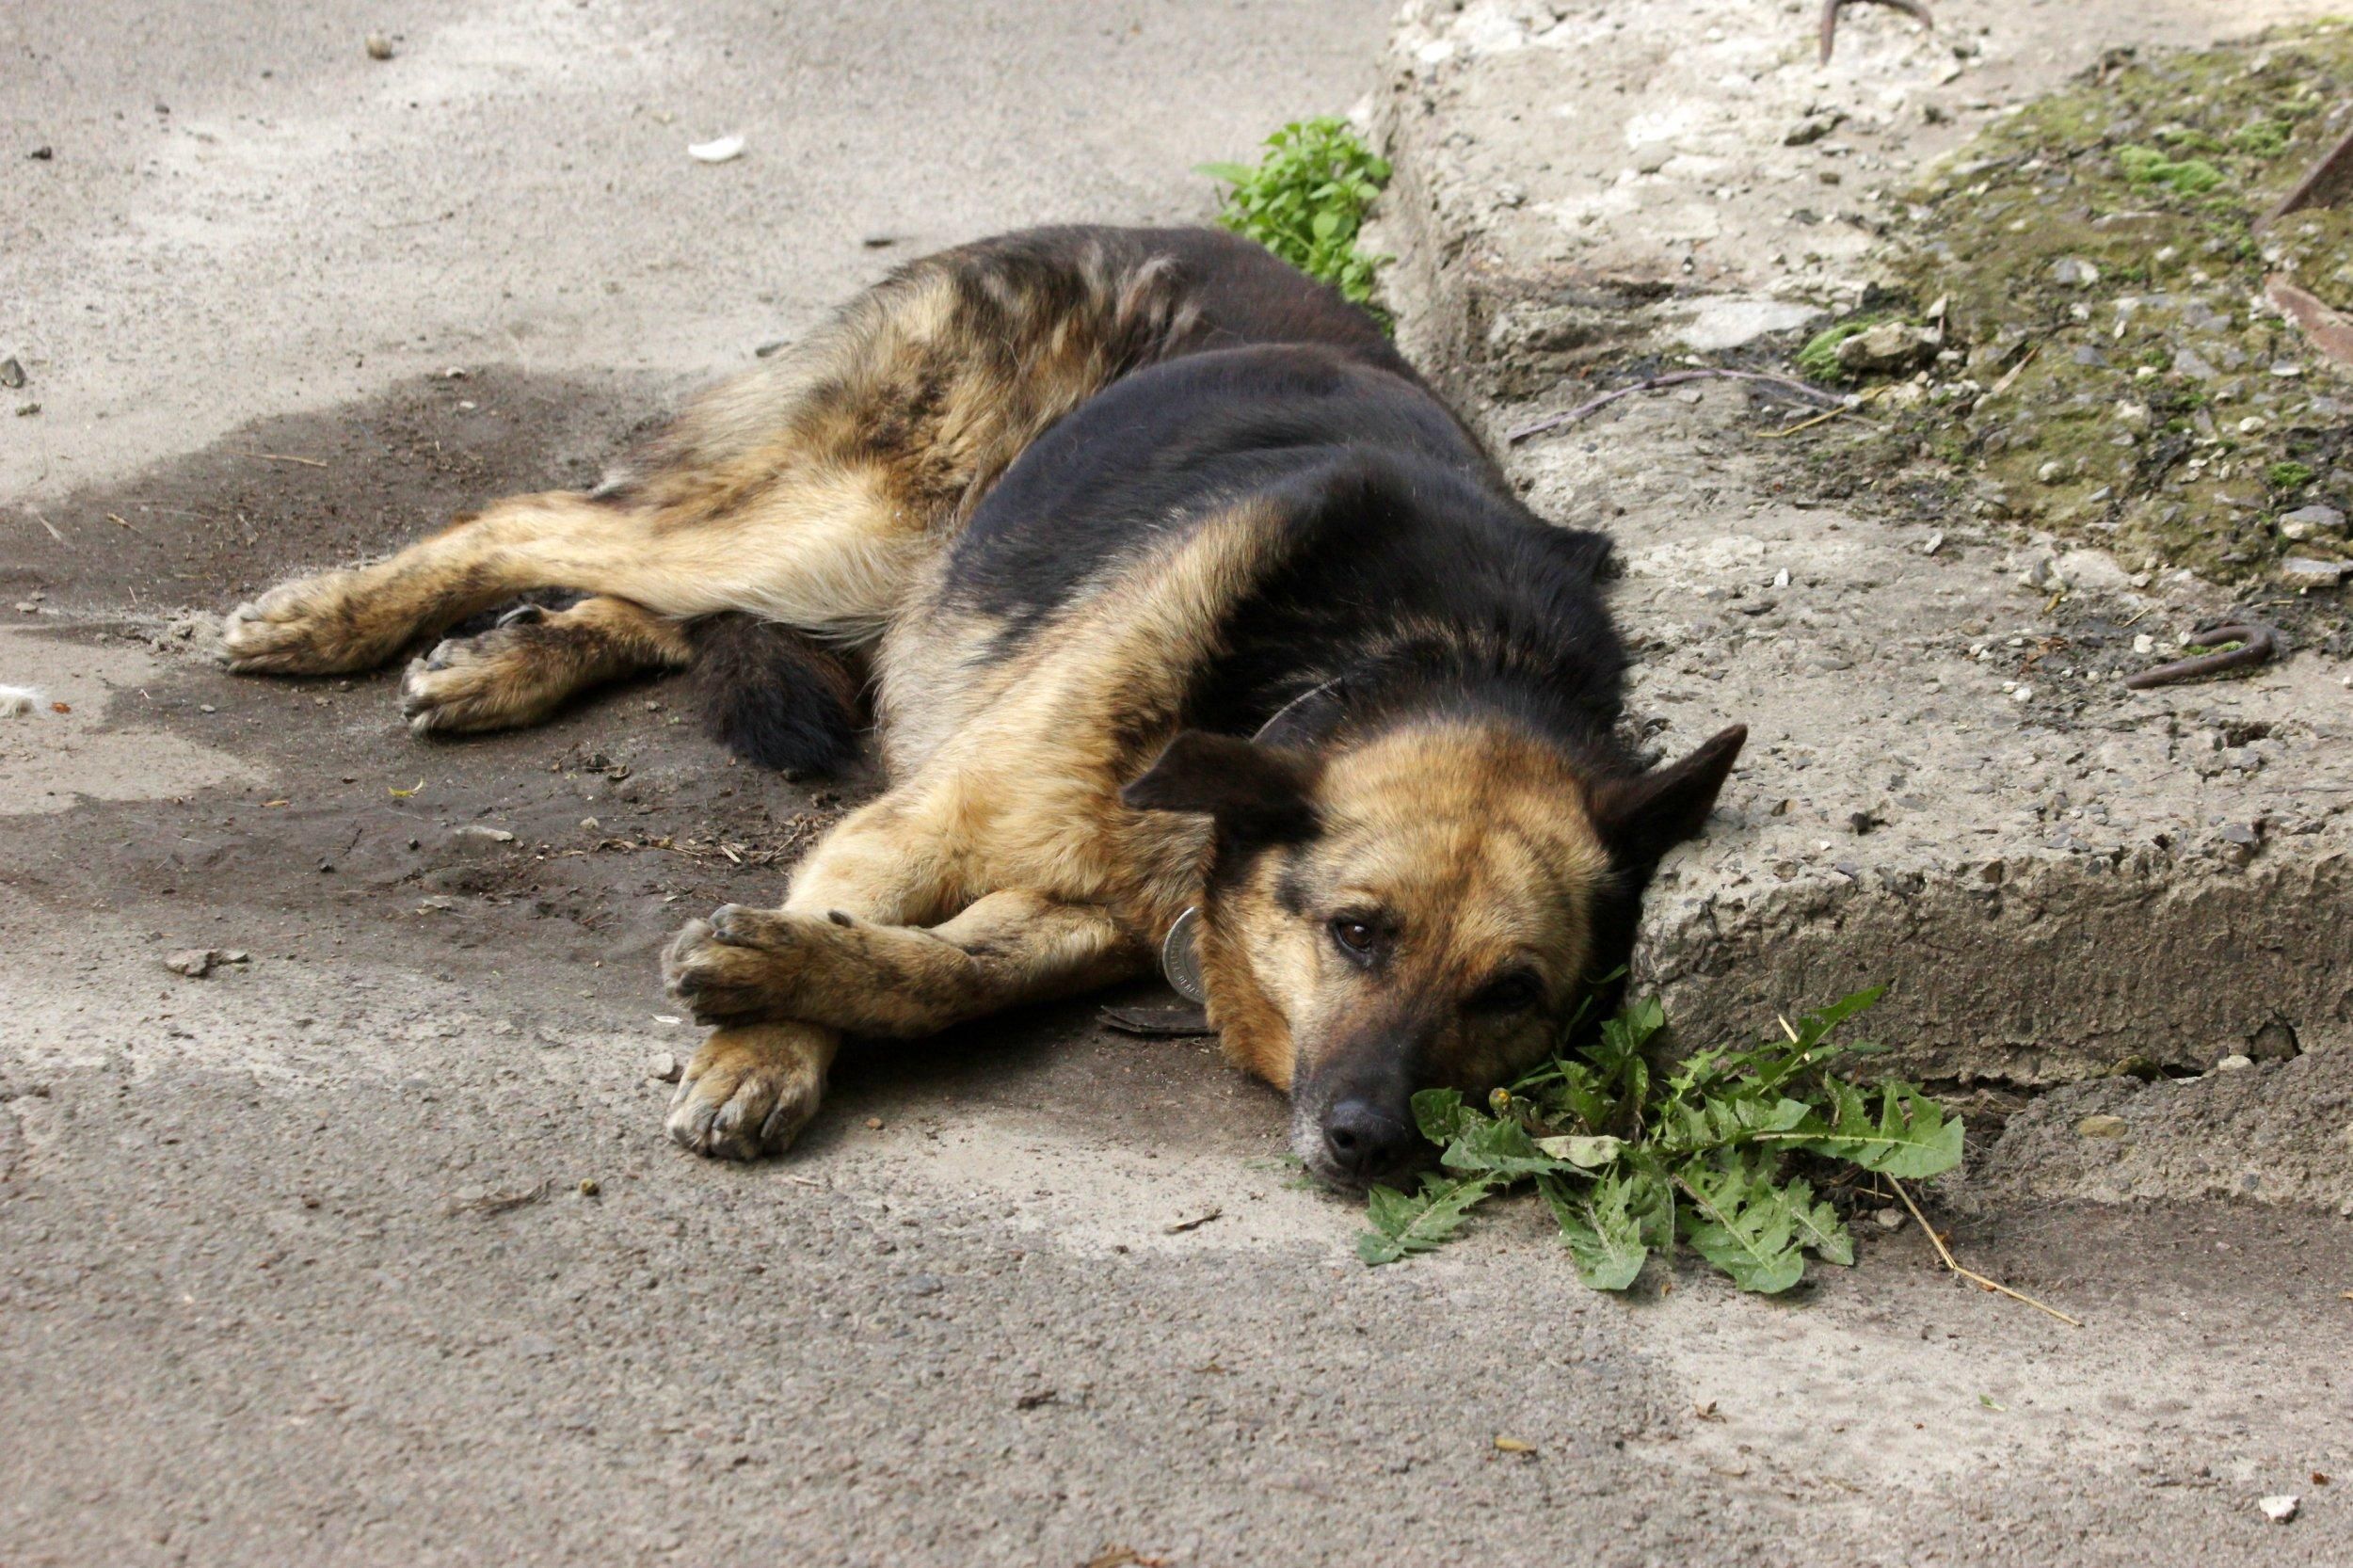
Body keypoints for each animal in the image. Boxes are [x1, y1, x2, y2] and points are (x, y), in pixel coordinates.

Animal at [221, 226, 1741, 1186]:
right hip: (848, 528)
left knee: (647, 598)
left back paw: (507, 660)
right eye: (1358, 934)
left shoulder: (1083, 912)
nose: (1374, 1141)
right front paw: (759, 1043)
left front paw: (781, 978)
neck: (1405, 657)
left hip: (856, 574)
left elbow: (942, 975)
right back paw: (333, 615)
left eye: (1512, 992)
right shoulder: (911, 832)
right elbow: (875, 911)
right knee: (533, 519)